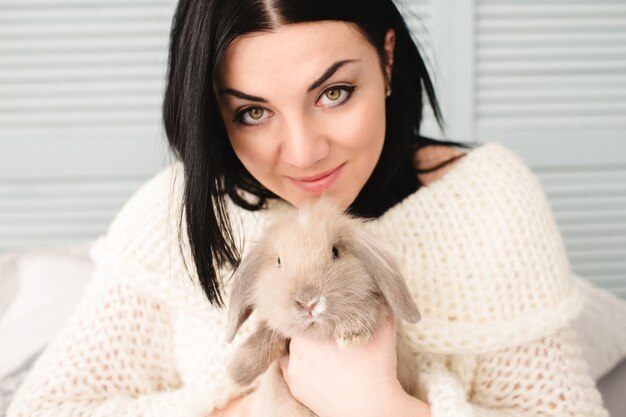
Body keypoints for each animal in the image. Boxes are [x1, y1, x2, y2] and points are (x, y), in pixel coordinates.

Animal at [224, 198, 420, 416]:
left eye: (335, 252)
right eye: (278, 261)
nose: (308, 302)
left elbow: (374, 305)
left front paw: (351, 334)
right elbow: (265, 333)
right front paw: (237, 373)